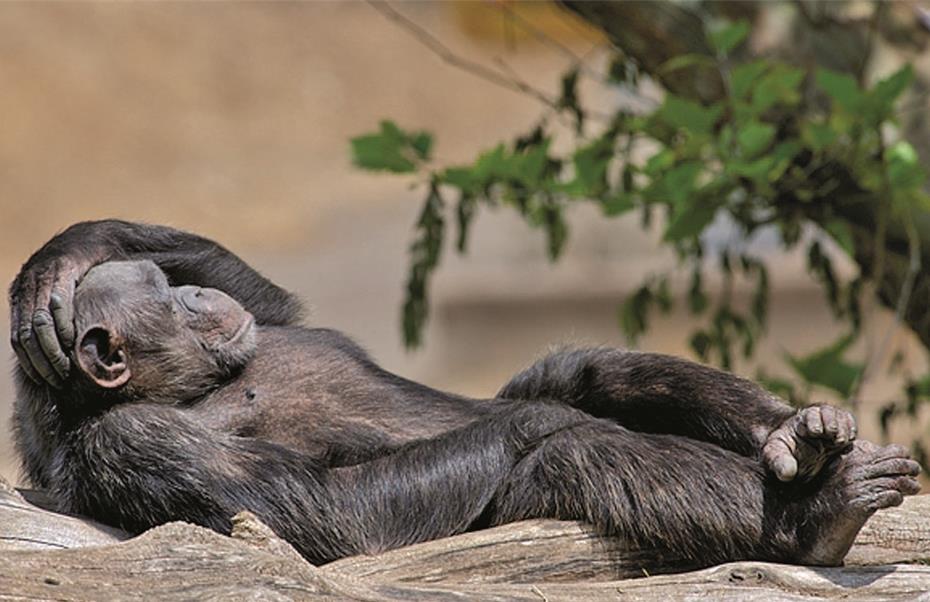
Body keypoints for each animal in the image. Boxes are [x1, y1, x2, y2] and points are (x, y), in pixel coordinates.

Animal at [9, 219, 920, 568]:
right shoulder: (135, 446)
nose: (192, 296)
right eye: (163, 298)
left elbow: (271, 296)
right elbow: (320, 515)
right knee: (584, 447)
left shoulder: (259, 317)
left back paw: (803, 436)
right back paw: (815, 519)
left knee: (598, 369)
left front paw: (58, 263)